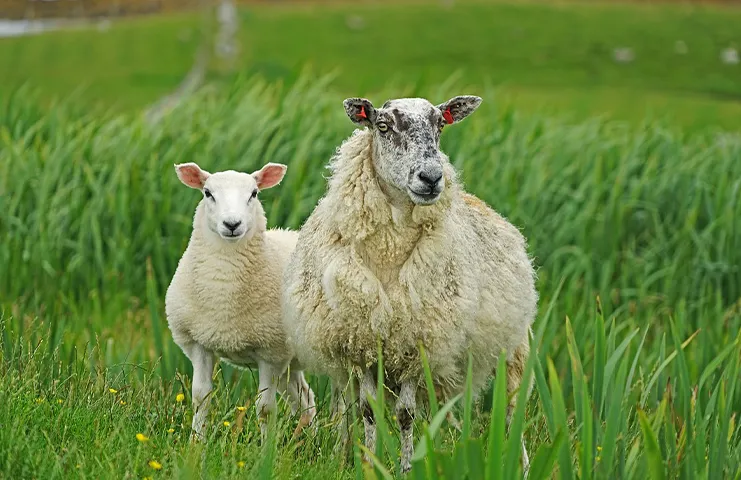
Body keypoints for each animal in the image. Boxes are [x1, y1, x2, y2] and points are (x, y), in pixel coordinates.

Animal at [165, 162, 316, 442]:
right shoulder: (199, 344)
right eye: (207, 193)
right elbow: (200, 398)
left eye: (254, 194)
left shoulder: (271, 353)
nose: (232, 223)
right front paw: (196, 444)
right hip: (291, 363)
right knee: (306, 400)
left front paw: (267, 450)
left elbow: (265, 408)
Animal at [284, 95, 536, 470]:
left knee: (511, 411)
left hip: (512, 349)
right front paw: (369, 466)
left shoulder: (417, 343)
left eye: (440, 125)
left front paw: (404, 469)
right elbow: (368, 411)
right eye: (383, 126)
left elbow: (405, 415)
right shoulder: (363, 344)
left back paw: (521, 467)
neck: (389, 253)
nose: (431, 177)